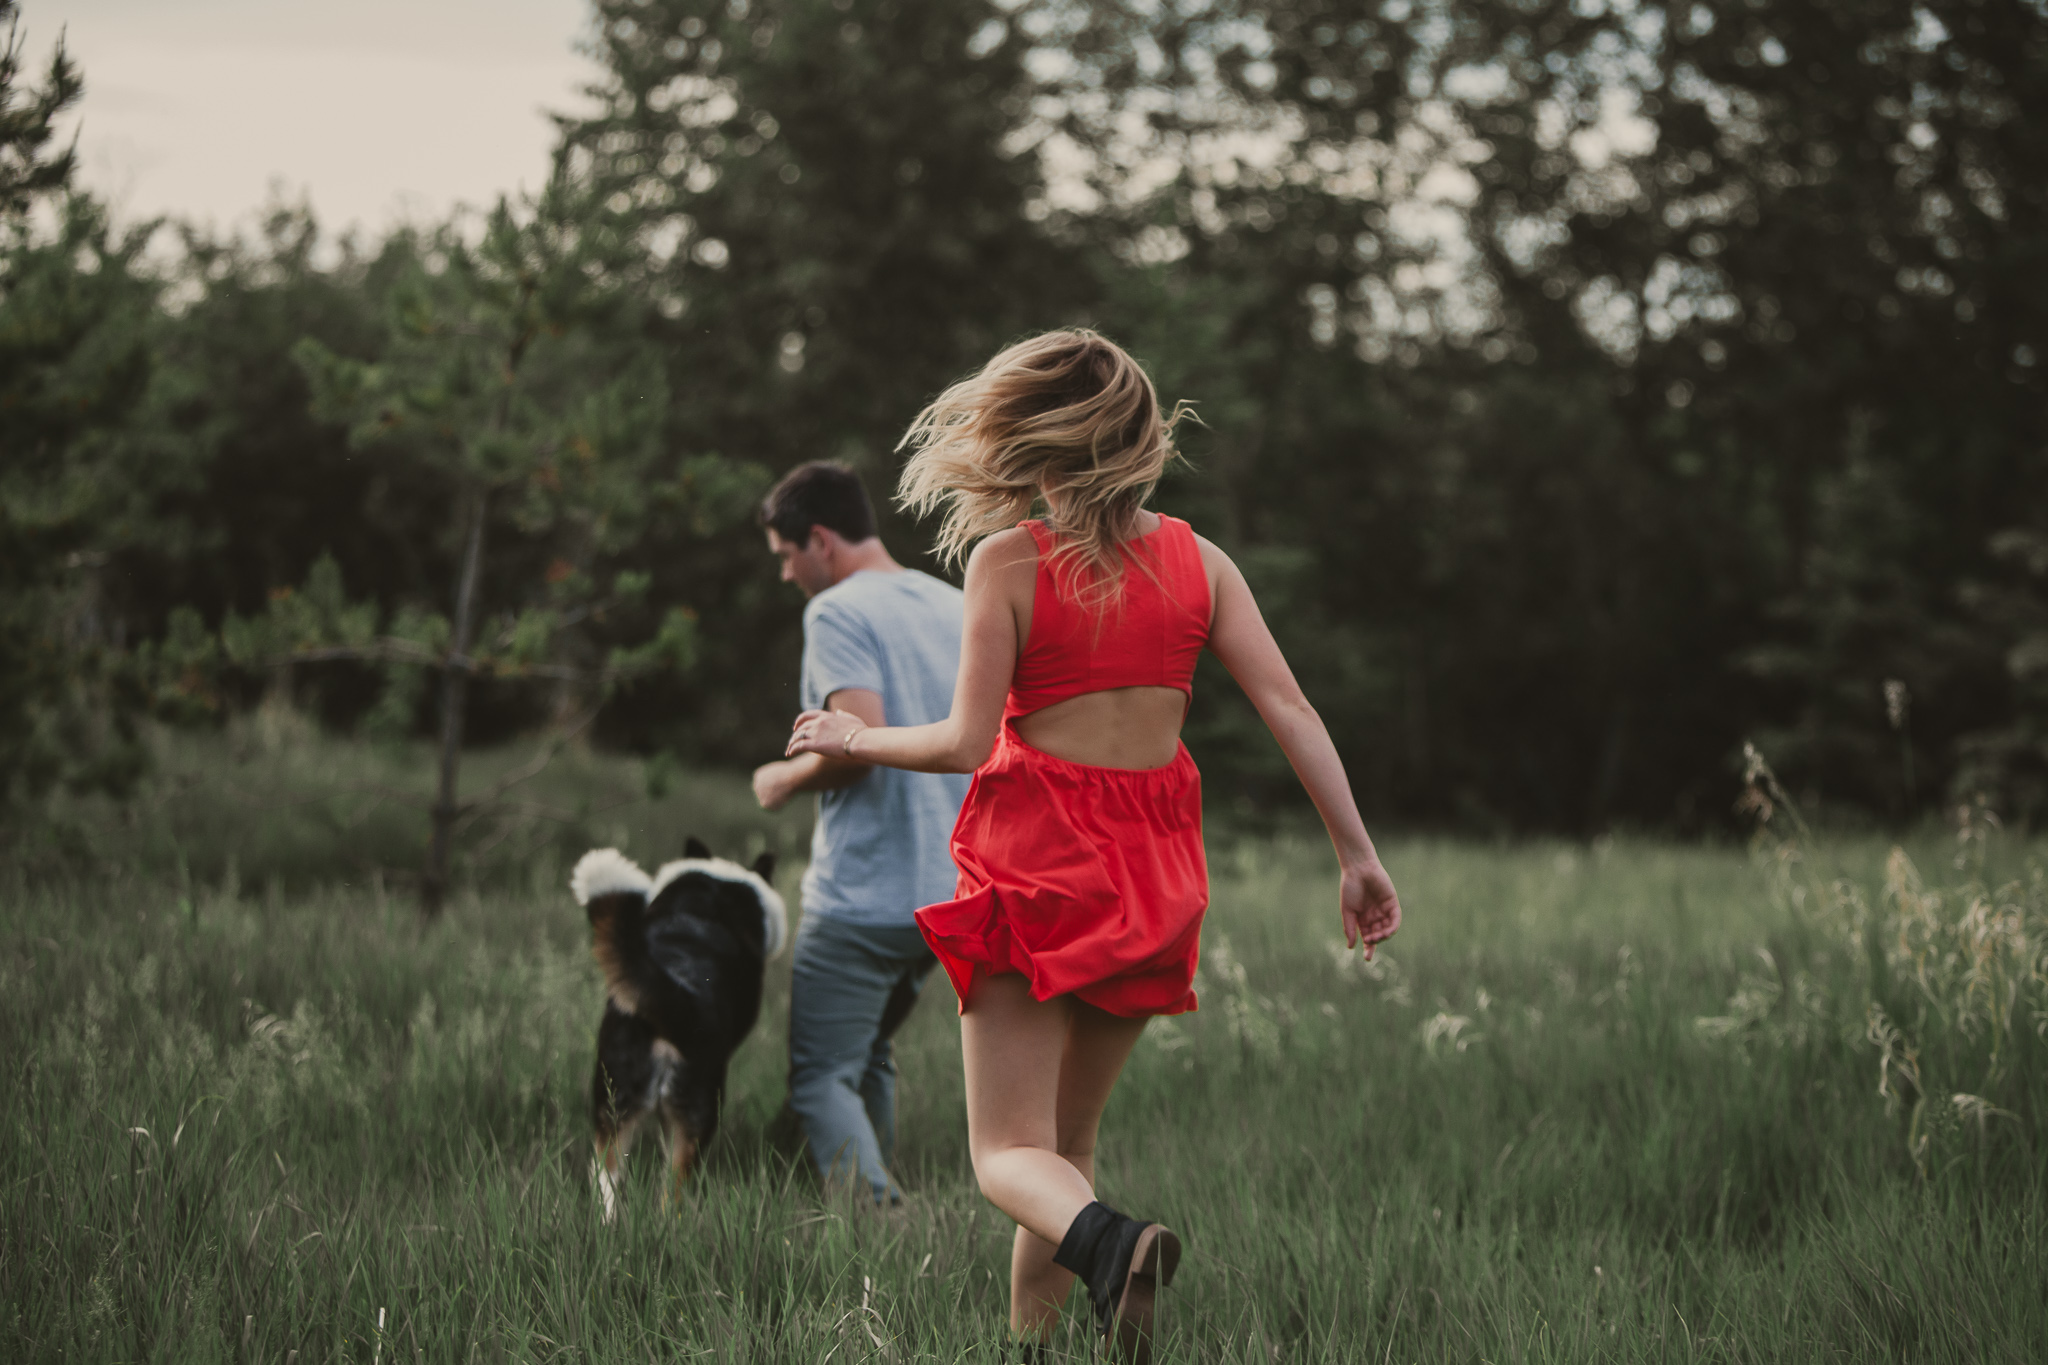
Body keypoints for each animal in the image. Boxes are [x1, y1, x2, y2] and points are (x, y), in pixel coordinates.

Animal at [573, 843, 786, 1219]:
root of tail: (677, 992)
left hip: (612, 1101)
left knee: (607, 1176)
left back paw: (607, 1226)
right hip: (698, 1114)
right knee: (671, 1192)